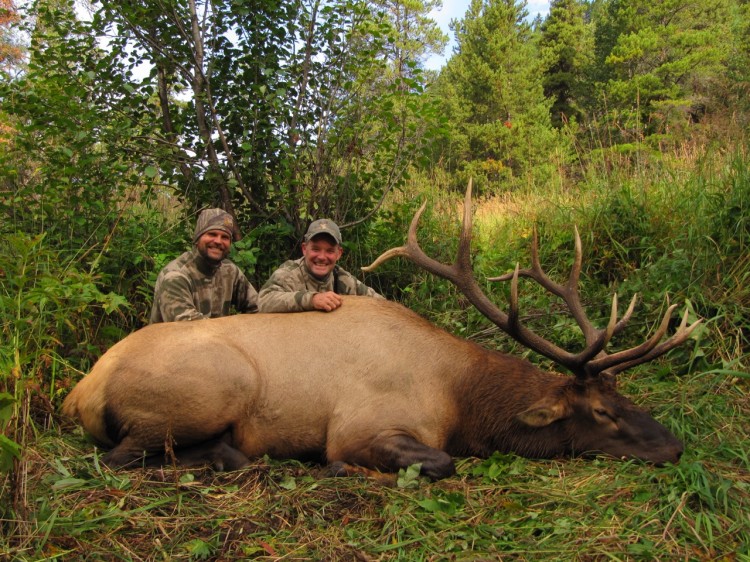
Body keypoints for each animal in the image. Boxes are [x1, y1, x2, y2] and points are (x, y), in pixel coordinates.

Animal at [61, 184, 704, 476]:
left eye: (626, 397)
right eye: (600, 412)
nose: (674, 445)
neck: (461, 398)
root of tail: (80, 390)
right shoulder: (361, 425)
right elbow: (438, 461)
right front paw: (340, 469)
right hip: (217, 385)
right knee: (124, 455)